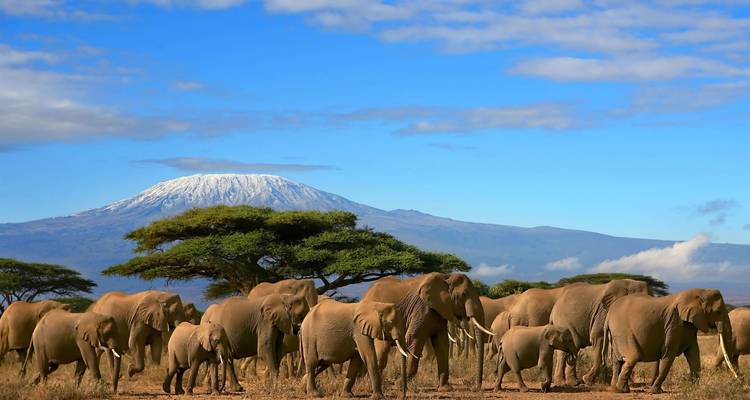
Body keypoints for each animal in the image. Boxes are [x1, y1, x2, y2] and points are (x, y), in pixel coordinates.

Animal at [361, 272, 493, 391]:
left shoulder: (439, 311)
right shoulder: (422, 308)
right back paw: (371, 386)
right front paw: (399, 385)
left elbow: (442, 343)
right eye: (464, 294)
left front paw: (445, 389)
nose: (475, 388)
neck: (446, 277)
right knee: (381, 350)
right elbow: (414, 338)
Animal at [605, 288, 738, 394]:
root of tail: (608, 315)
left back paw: (615, 389)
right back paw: (621, 390)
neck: (700, 292)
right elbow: (669, 354)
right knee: (632, 357)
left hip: (616, 335)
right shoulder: (674, 323)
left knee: (617, 361)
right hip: (622, 330)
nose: (738, 380)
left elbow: (693, 354)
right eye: (717, 312)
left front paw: (695, 389)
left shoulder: (689, 325)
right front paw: (655, 391)